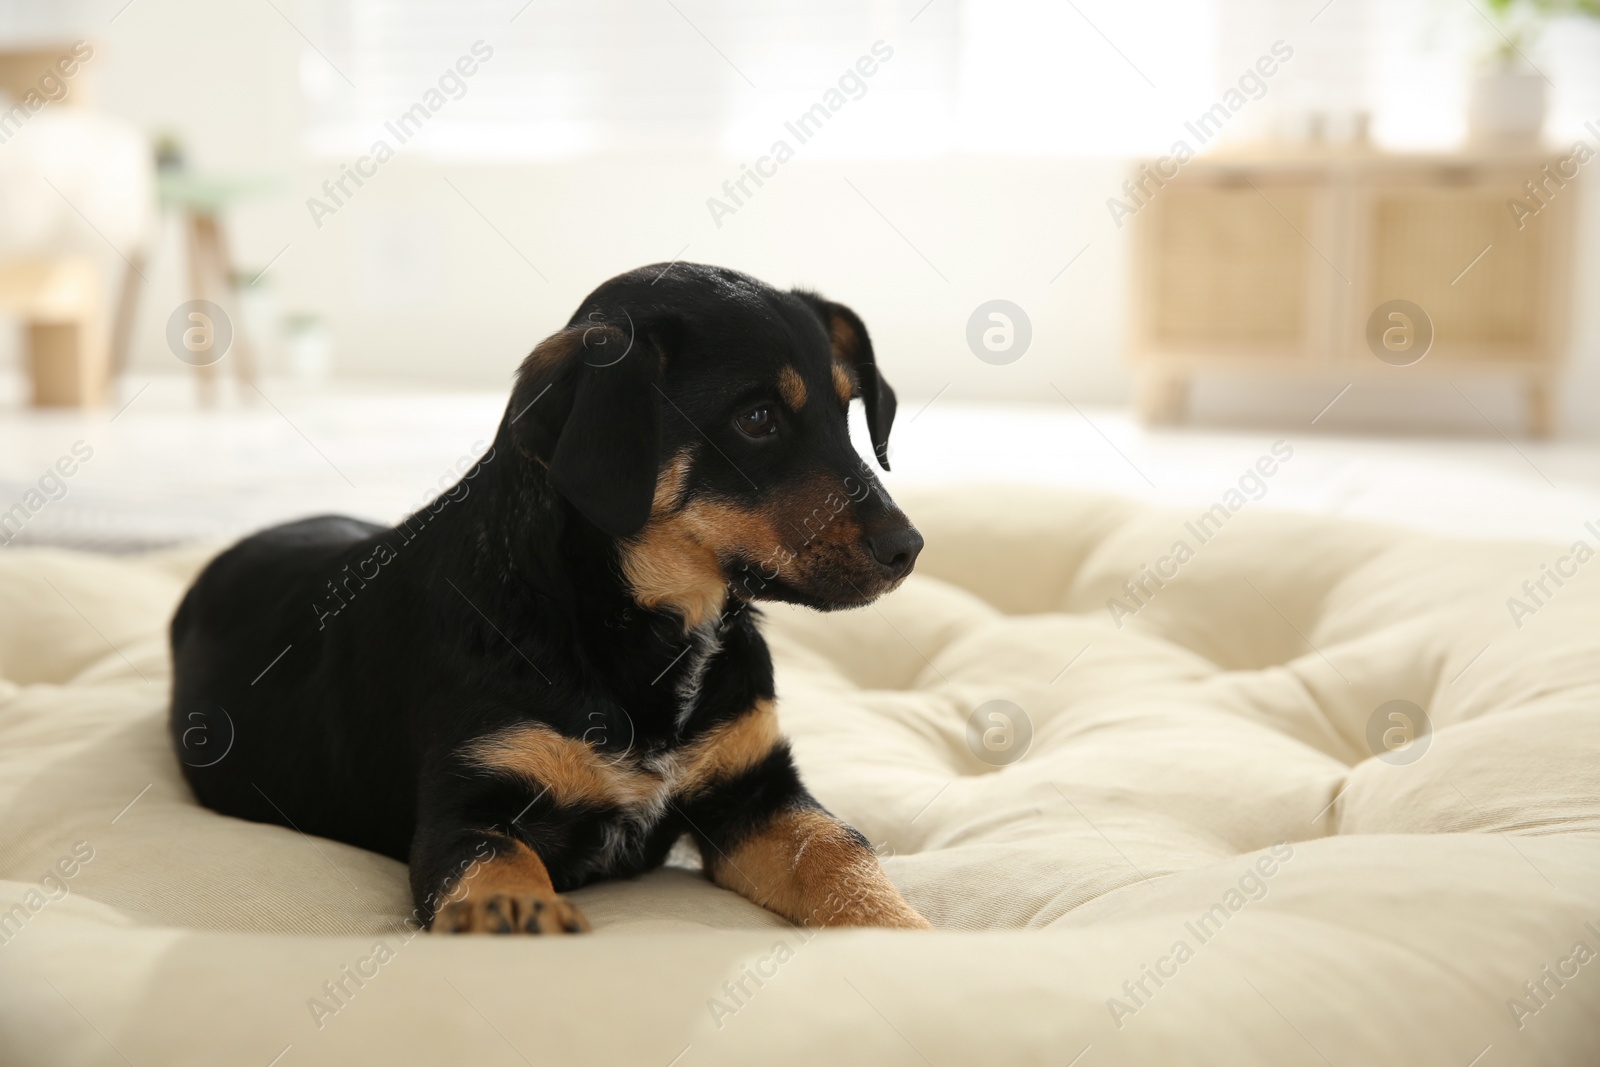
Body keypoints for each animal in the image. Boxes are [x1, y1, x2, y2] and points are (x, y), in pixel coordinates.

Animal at [165, 260, 928, 934]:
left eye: (847, 411)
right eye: (758, 418)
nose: (908, 549)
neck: (652, 627)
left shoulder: (756, 790)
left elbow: (840, 851)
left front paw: (905, 929)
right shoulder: (469, 806)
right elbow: (502, 867)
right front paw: (519, 918)